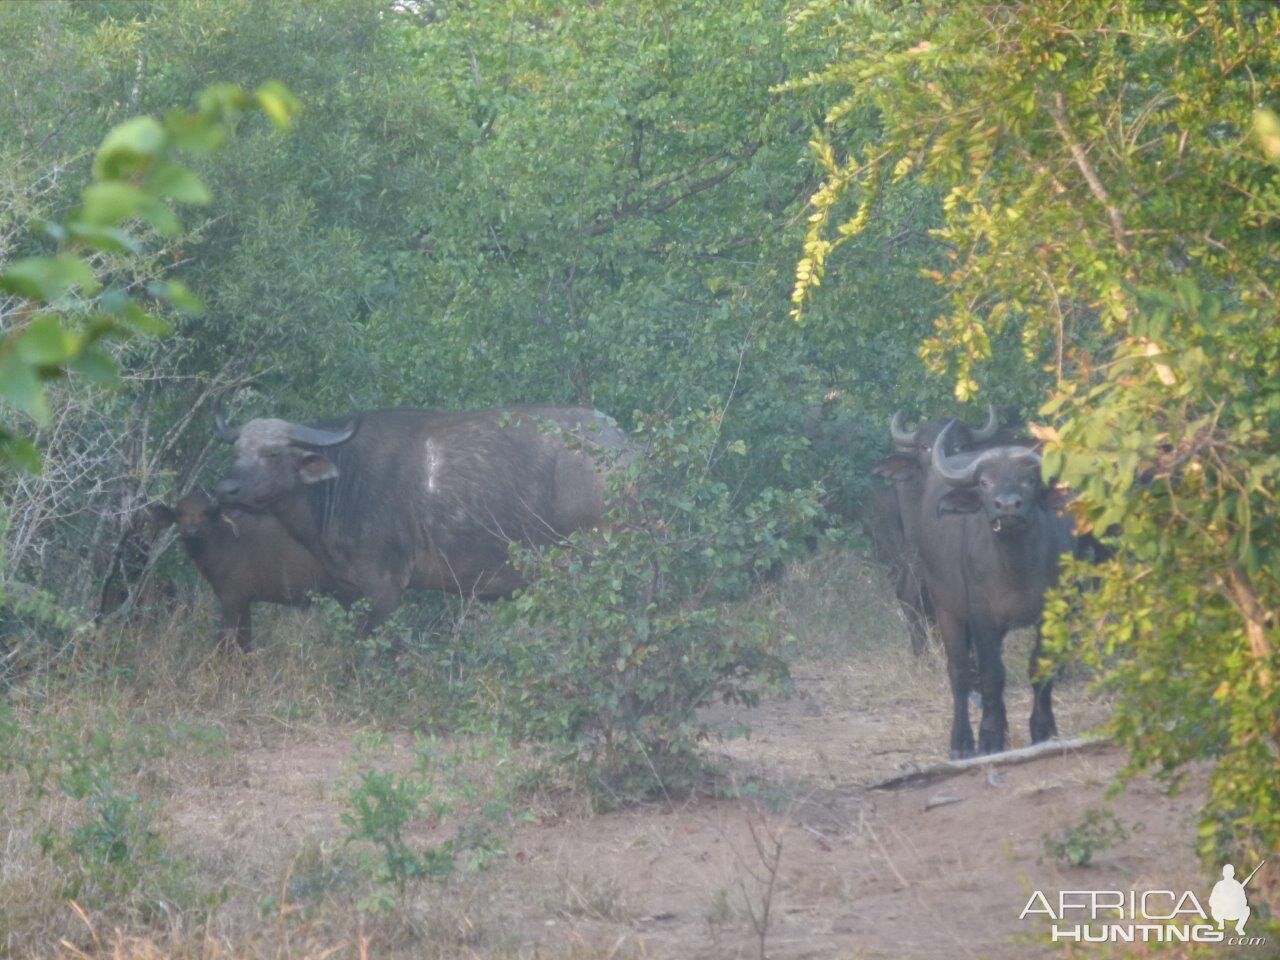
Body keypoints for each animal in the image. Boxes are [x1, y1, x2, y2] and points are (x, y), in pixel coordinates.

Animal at [149, 491, 337, 650]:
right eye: (180, 513)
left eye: (205, 513)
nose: (192, 531)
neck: (223, 540)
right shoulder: (245, 601)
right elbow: (245, 642)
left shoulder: (232, 600)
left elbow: (225, 642)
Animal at [211, 401, 629, 627]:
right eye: (237, 451)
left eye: (272, 453)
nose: (226, 489)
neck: (345, 481)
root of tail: (625, 448)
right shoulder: (348, 591)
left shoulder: (384, 589)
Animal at [916, 424, 1075, 762]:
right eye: (985, 482)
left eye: (1029, 480)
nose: (1008, 506)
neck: (1016, 567)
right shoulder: (983, 618)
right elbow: (991, 675)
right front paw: (988, 736)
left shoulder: (1053, 611)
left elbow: (1040, 666)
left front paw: (1043, 728)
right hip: (945, 608)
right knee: (960, 672)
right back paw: (962, 741)